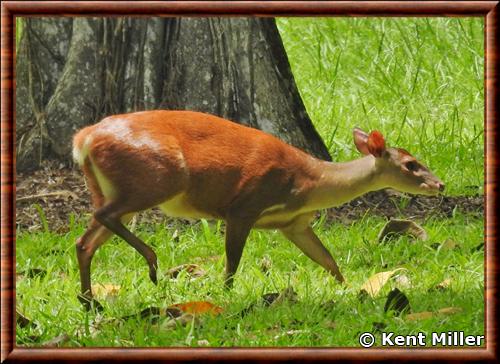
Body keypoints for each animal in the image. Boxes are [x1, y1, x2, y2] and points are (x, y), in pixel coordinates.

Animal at [72, 109, 444, 308]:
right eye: (411, 164)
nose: (440, 185)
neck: (311, 182)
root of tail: (84, 139)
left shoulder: (294, 224)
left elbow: (327, 258)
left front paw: (350, 288)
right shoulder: (244, 206)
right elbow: (233, 262)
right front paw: (225, 295)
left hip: (112, 186)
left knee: (85, 241)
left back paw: (90, 300)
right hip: (159, 177)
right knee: (103, 217)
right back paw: (151, 264)